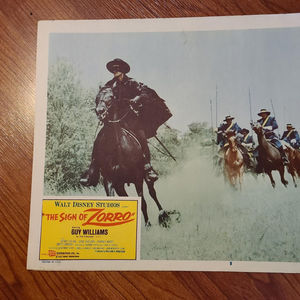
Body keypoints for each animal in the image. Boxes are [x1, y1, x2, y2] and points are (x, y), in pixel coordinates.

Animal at [93, 86, 171, 227]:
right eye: (97, 98)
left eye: (111, 97)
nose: (100, 111)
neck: (118, 150)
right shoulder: (110, 181)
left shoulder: (137, 178)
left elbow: (143, 202)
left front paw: (148, 224)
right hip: (120, 185)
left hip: (145, 176)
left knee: (152, 192)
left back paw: (163, 215)